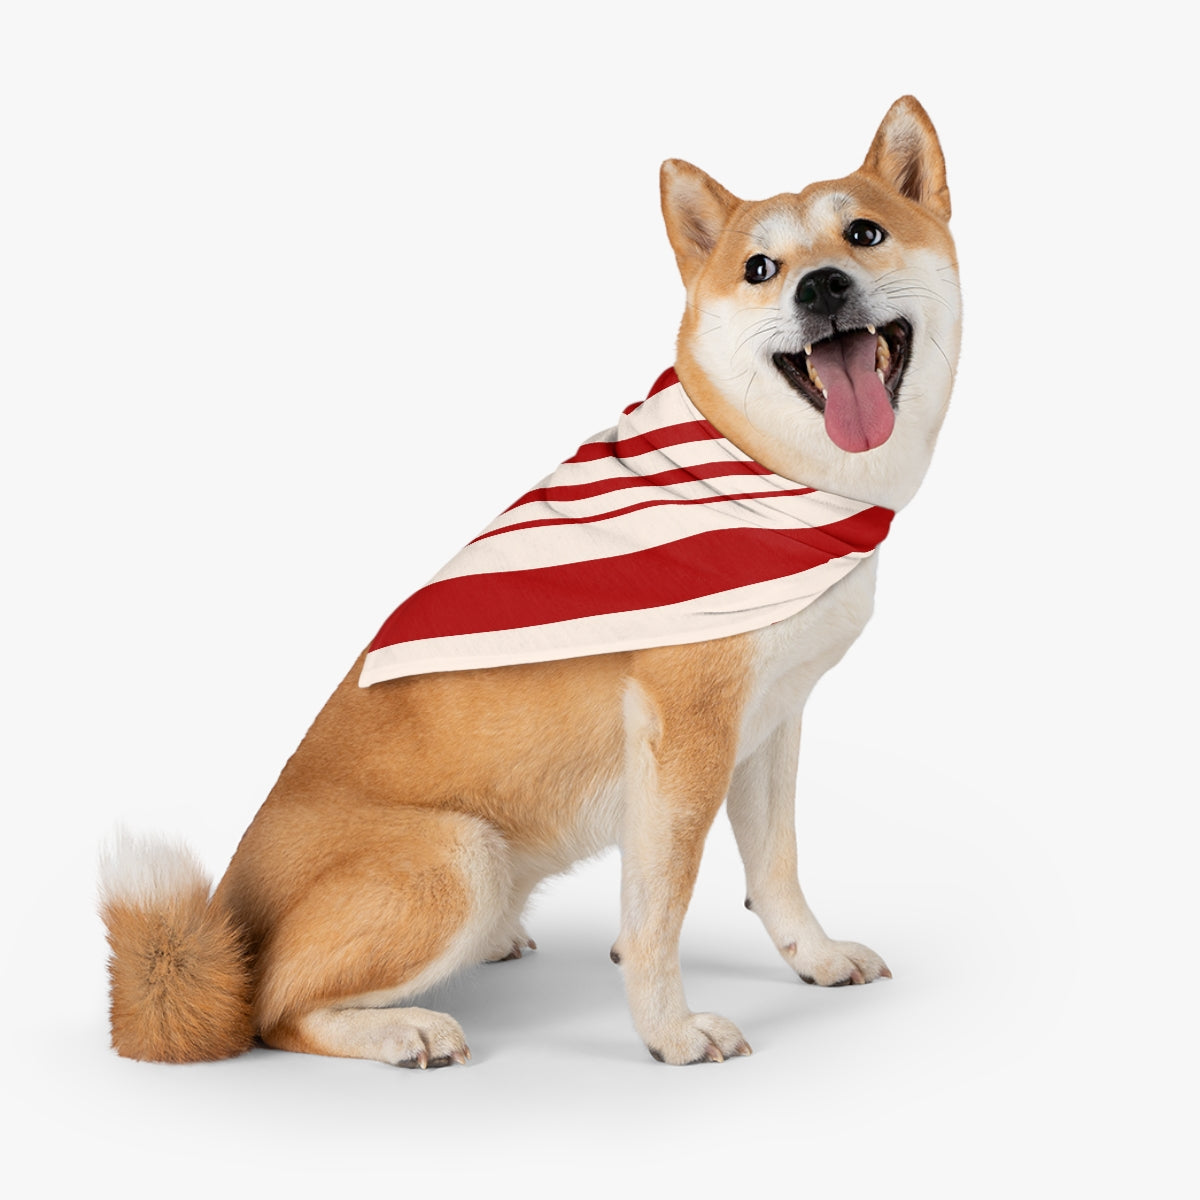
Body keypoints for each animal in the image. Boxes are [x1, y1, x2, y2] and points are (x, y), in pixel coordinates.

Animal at [103, 96, 964, 1070]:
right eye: (759, 268)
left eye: (864, 233)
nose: (818, 287)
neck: (775, 475)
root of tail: (222, 918)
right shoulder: (685, 735)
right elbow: (659, 908)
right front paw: (670, 1032)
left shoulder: (770, 720)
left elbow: (773, 867)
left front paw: (812, 958)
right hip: (459, 854)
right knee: (273, 1009)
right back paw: (402, 1028)